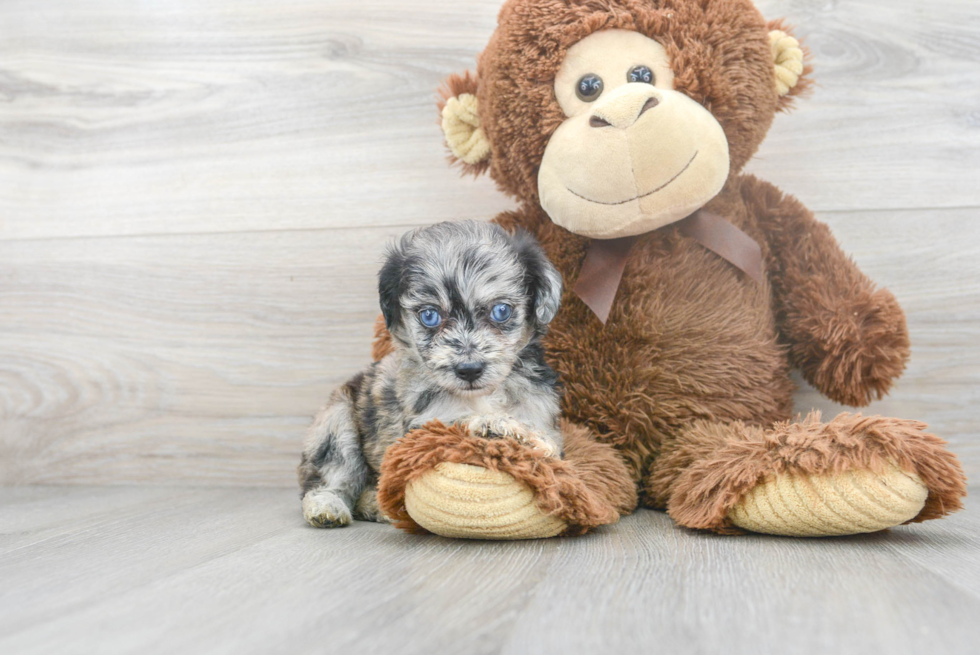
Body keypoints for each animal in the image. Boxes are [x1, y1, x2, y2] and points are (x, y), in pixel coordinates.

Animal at [294, 220, 564, 528]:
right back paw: (329, 507)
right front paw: (494, 424)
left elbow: (547, 442)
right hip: (336, 422)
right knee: (329, 477)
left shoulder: (540, 413)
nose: (469, 369)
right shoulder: (420, 428)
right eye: (430, 316)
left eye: (501, 311)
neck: (481, 397)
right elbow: (456, 422)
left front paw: (527, 437)